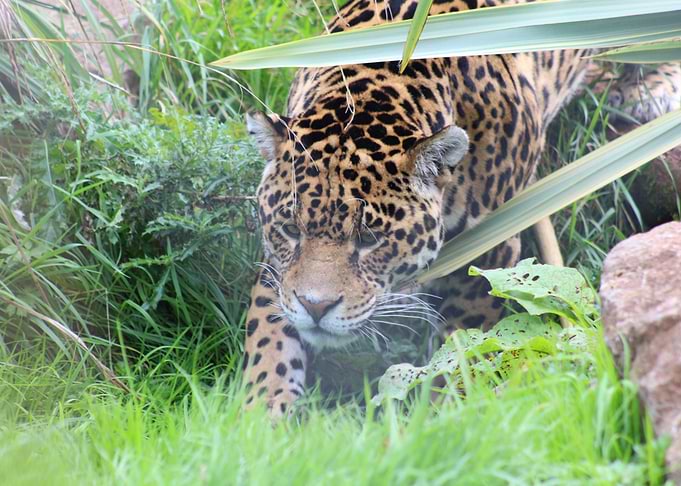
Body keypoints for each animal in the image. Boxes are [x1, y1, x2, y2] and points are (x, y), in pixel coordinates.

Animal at [240, 0, 681, 416]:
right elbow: (269, 339)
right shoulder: (277, 267)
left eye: (370, 240)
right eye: (291, 230)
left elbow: (458, 354)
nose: (315, 307)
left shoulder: (489, 253)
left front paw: (441, 417)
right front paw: (263, 412)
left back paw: (649, 92)